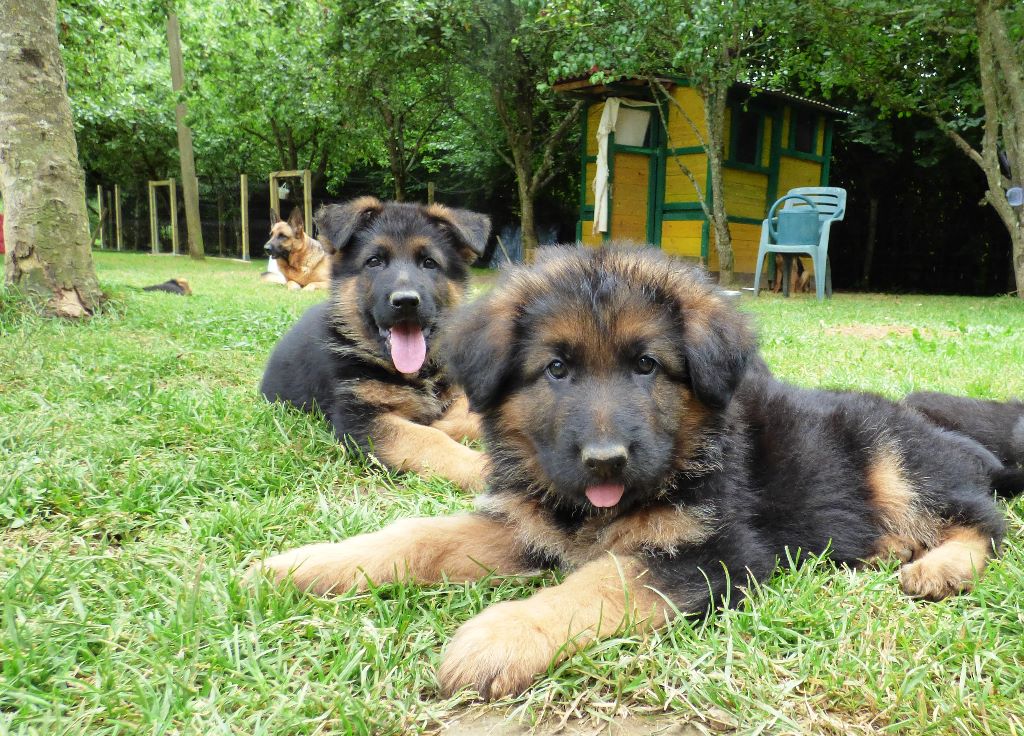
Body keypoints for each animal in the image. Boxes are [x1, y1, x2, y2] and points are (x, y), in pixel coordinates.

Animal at [251, 248, 1019, 704]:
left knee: (985, 520)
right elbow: (419, 536)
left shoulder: (715, 551)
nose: (605, 461)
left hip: (894, 462)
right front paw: (306, 565)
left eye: (647, 365)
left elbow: (600, 581)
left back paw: (937, 565)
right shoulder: (531, 521)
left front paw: (500, 636)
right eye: (556, 368)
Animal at [260, 198, 491, 491]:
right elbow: (429, 439)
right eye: (374, 262)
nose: (406, 302)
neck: (418, 373)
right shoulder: (361, 420)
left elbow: (466, 419)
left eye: (429, 263)